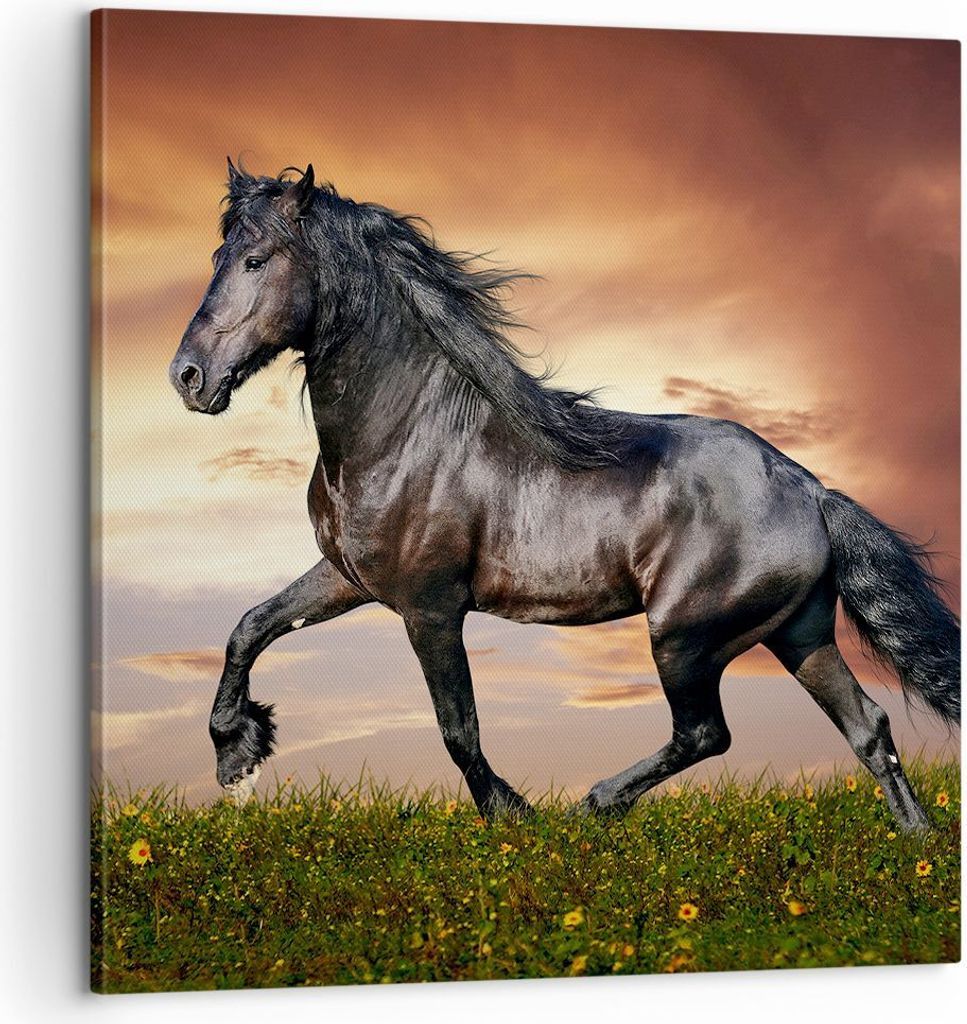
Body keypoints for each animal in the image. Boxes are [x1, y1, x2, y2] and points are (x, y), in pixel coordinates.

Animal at [169, 160, 960, 832]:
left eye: (256, 261)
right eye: (218, 258)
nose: (188, 377)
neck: (405, 433)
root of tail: (811, 490)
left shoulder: (430, 607)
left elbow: (458, 729)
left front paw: (511, 816)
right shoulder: (348, 578)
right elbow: (250, 626)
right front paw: (237, 753)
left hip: (685, 637)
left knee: (706, 732)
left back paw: (594, 806)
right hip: (797, 633)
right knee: (868, 729)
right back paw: (915, 844)